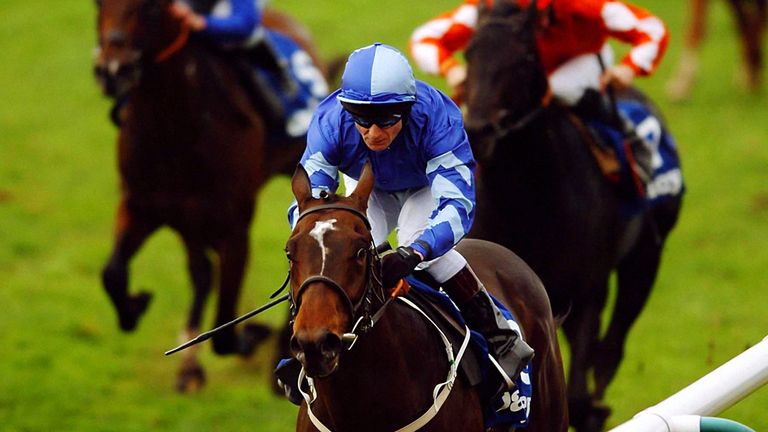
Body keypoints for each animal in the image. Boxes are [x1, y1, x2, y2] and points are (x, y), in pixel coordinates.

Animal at [94, 0, 328, 394]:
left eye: (150, 7)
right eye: (97, 4)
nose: (112, 70)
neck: (172, 129)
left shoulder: (233, 229)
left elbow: (226, 334)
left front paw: (258, 334)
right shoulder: (142, 206)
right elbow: (112, 273)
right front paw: (136, 305)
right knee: (200, 271)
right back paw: (190, 364)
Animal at [462, 1, 684, 430]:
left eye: (525, 60)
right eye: (469, 54)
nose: (478, 131)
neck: (531, 204)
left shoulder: (586, 295)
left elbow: (580, 395)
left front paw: (595, 409)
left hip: (644, 261)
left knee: (610, 352)